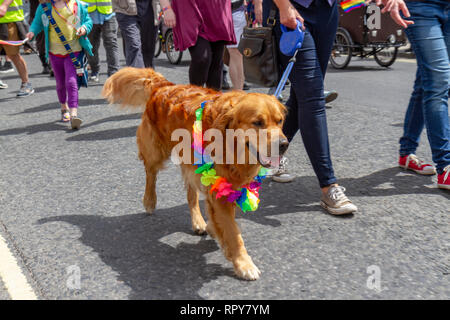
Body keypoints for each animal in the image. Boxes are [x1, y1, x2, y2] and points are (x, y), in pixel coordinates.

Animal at [103, 67, 288, 280]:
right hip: (156, 151)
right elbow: (234, 233)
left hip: (190, 162)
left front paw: (214, 229)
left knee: (191, 193)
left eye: (280, 121)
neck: (230, 144)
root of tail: (164, 86)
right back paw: (149, 200)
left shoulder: (225, 185)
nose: (284, 145)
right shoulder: (220, 192)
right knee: (150, 174)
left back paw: (199, 222)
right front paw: (244, 264)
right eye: (258, 123)